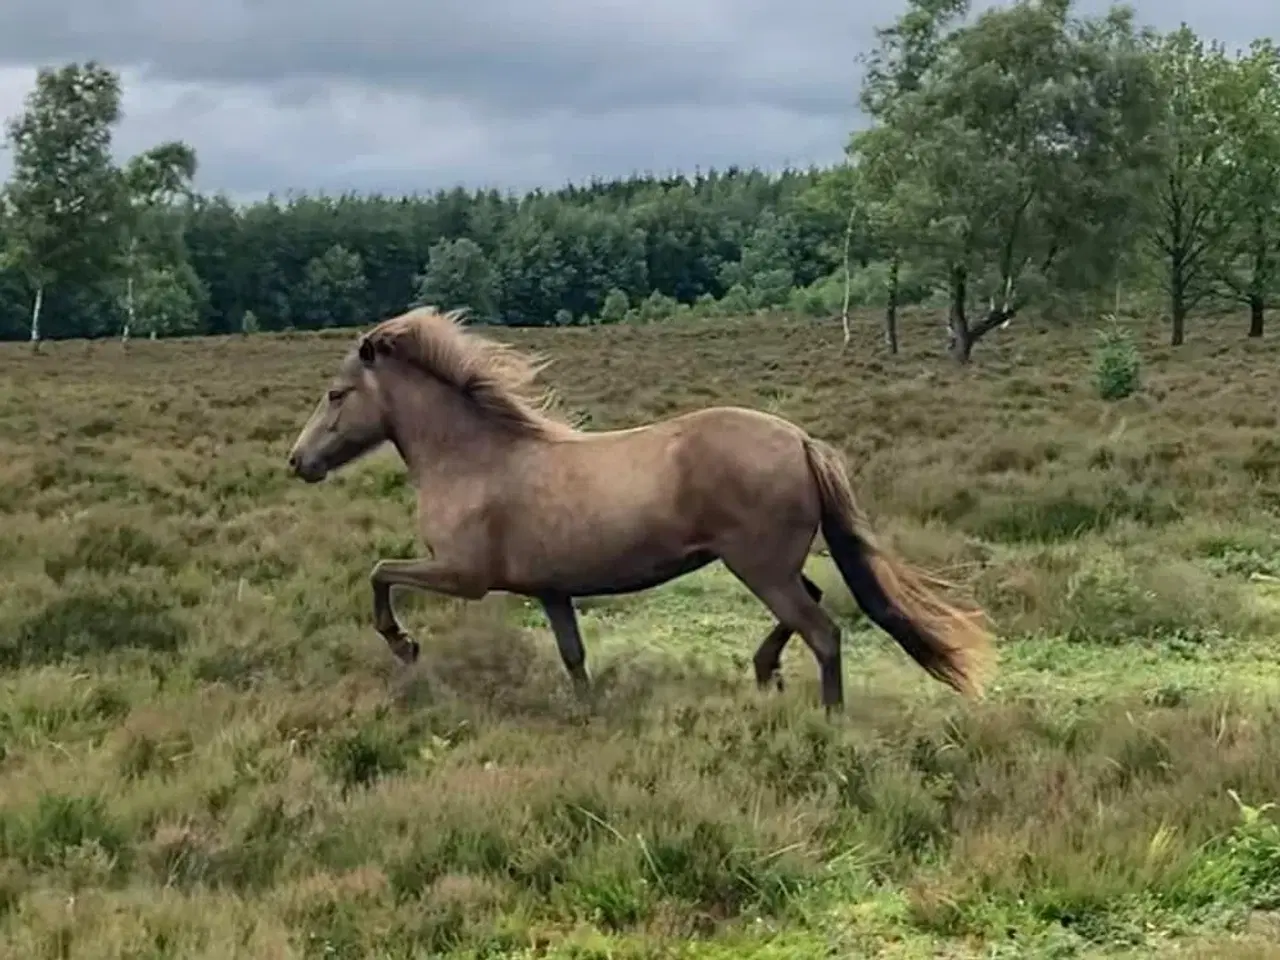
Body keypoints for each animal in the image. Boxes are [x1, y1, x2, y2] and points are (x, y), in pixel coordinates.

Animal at [285, 308, 993, 716]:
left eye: (336, 394)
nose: (298, 462)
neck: (475, 458)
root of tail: (799, 439)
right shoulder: (550, 590)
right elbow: (573, 656)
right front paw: (587, 715)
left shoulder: (464, 575)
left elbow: (379, 572)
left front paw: (403, 644)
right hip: (773, 567)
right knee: (811, 607)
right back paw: (764, 674)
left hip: (758, 567)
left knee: (823, 632)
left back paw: (828, 722)